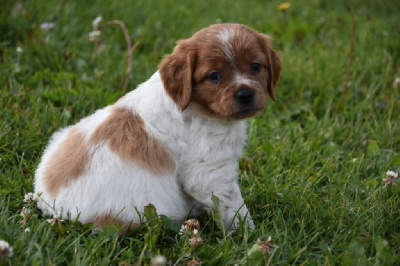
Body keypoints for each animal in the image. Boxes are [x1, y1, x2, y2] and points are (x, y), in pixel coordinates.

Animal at [36, 23, 282, 231]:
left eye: (255, 66)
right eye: (214, 76)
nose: (245, 94)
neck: (195, 106)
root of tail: (53, 208)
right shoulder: (210, 171)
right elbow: (233, 206)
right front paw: (249, 235)